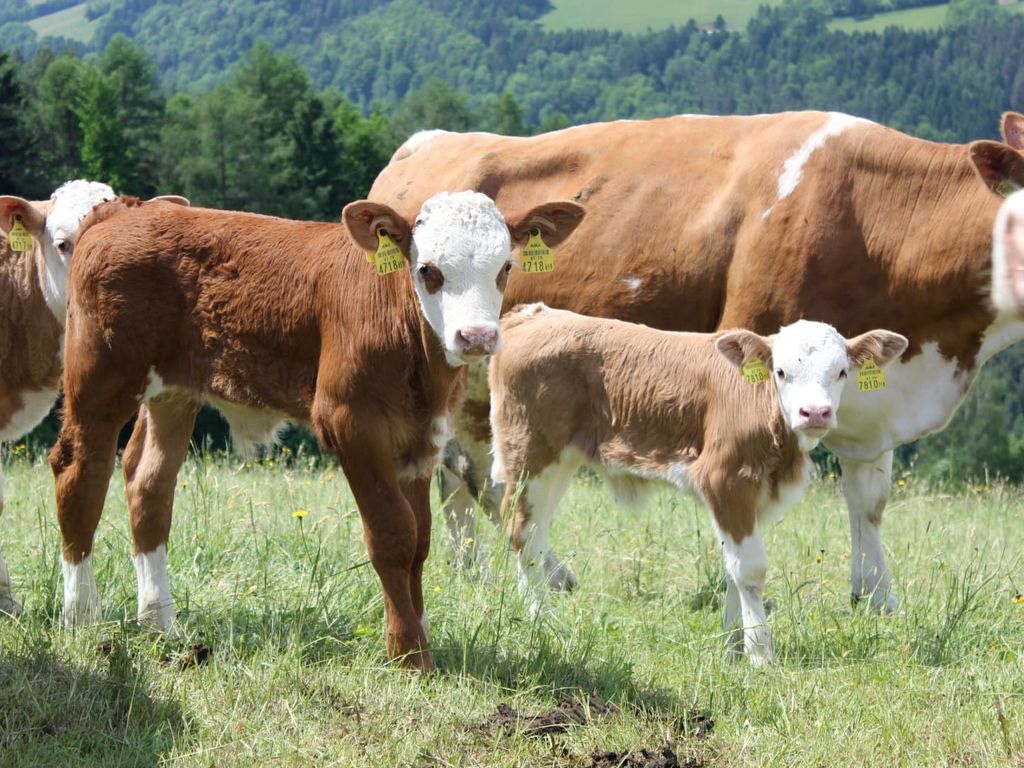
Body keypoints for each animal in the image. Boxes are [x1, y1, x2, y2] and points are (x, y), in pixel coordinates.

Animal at [51, 190, 585, 670]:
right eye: (428, 270)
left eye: (505, 268)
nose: (476, 337)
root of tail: (126, 210)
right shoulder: (350, 423)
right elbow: (393, 534)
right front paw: (408, 652)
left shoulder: (420, 436)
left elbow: (420, 540)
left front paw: (419, 632)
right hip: (101, 378)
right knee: (79, 473)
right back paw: (81, 614)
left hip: (175, 391)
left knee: (149, 482)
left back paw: (159, 622)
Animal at [370, 110, 1024, 613]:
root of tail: (425, 143)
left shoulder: (869, 401)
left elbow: (870, 501)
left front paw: (877, 601)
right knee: (478, 476)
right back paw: (540, 573)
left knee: (466, 471)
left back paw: (474, 571)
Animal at [490, 305, 906, 665]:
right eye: (781, 372)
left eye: (841, 372)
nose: (815, 413)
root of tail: (533, 314)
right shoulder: (725, 479)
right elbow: (750, 568)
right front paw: (760, 653)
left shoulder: (747, 499)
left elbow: (732, 567)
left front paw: (733, 648)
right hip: (531, 452)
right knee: (522, 531)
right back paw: (541, 619)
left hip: (559, 462)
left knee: (535, 532)